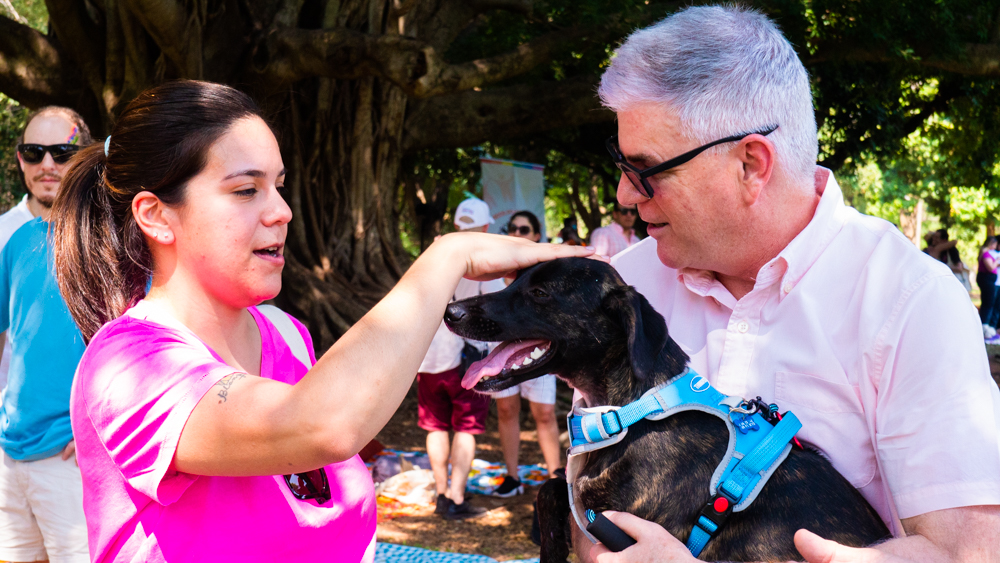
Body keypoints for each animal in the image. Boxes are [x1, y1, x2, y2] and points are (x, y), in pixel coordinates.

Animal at [446, 258, 892, 560]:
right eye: (514, 280)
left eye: (540, 293)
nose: (451, 312)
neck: (633, 411)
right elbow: (550, 487)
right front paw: (551, 547)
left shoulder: (618, 523)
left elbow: (558, 489)